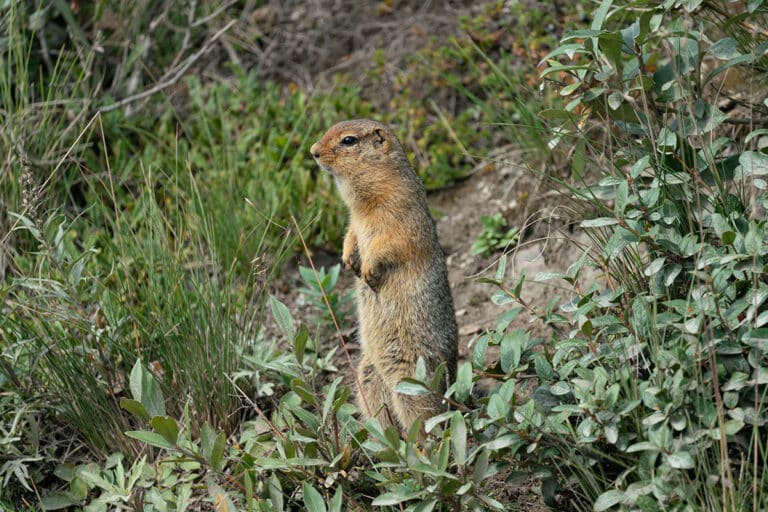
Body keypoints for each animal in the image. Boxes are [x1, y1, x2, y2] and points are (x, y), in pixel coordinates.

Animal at [310, 119, 460, 432]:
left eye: (349, 140)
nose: (313, 151)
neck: (363, 204)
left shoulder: (401, 211)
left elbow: (391, 242)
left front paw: (367, 269)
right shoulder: (354, 221)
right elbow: (350, 234)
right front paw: (348, 259)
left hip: (411, 377)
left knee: (426, 418)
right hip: (368, 374)